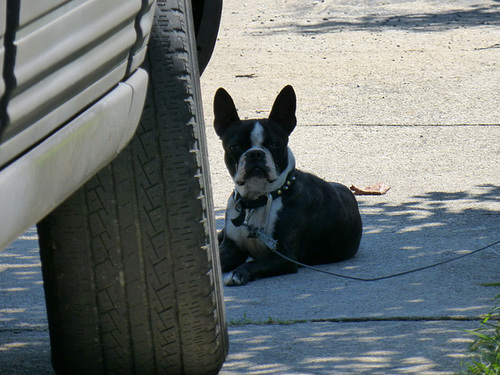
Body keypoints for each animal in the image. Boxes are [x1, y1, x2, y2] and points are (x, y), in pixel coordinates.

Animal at [213, 85, 362, 286]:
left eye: (274, 144)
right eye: (234, 147)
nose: (255, 154)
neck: (257, 200)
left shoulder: (284, 256)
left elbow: (253, 263)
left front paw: (238, 273)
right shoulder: (230, 249)